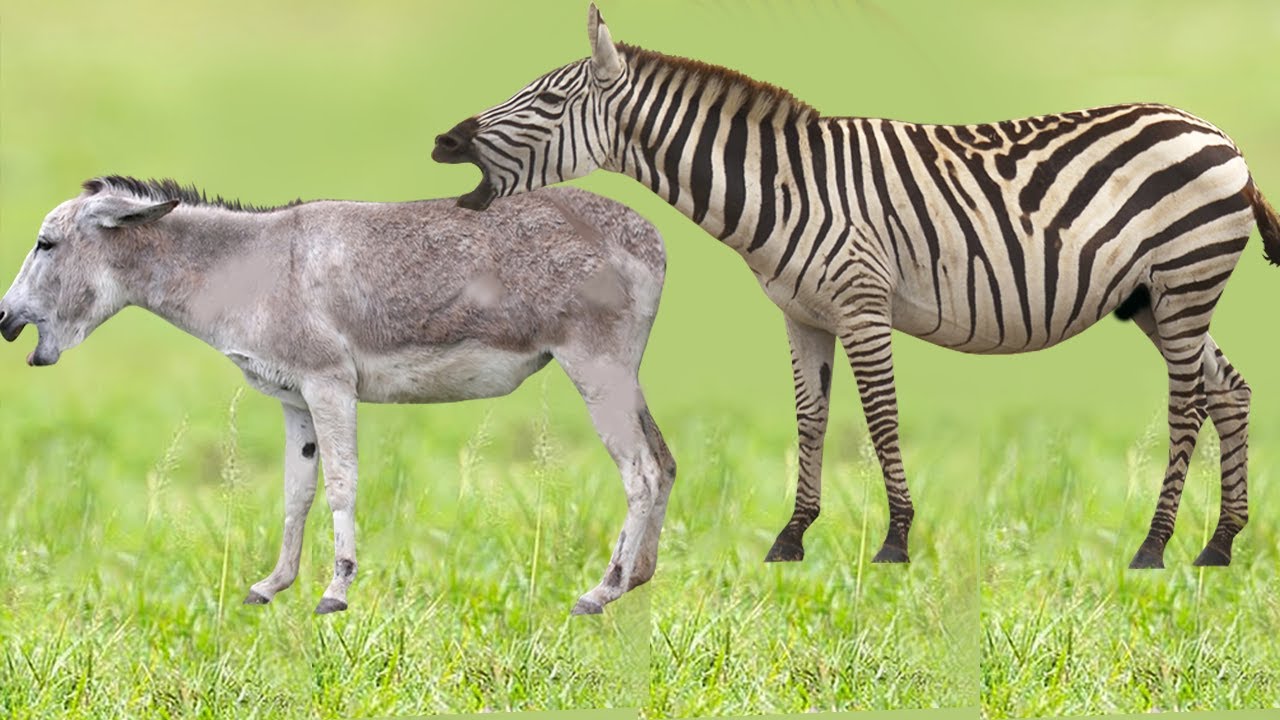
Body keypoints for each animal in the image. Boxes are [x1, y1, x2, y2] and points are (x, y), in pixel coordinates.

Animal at [433, 4, 1280, 570]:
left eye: (547, 101)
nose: (442, 139)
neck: (782, 189)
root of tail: (1219, 134)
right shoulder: (803, 316)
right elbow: (811, 419)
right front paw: (792, 535)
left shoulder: (864, 304)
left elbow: (879, 418)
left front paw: (898, 539)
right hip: (1158, 299)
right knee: (1229, 388)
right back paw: (1219, 544)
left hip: (1183, 280)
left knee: (1189, 404)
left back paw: (1155, 545)